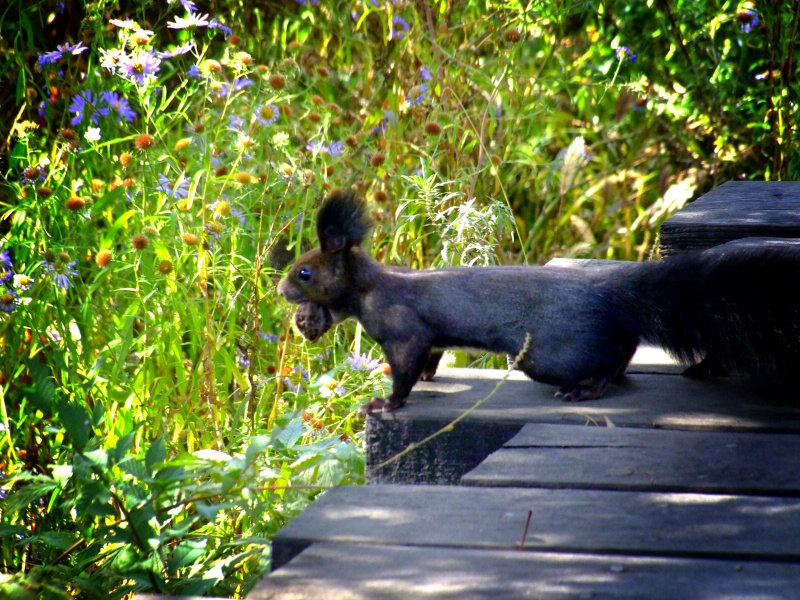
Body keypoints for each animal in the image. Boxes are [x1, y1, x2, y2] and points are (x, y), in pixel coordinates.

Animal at [276, 190, 800, 414]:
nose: (282, 292)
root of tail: (610, 293)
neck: (373, 288)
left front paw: (386, 402)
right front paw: (427, 378)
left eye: (304, 272)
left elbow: (407, 364)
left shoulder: (404, 326)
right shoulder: (429, 335)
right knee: (625, 348)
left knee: (610, 356)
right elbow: (432, 356)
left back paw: (586, 390)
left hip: (550, 353)